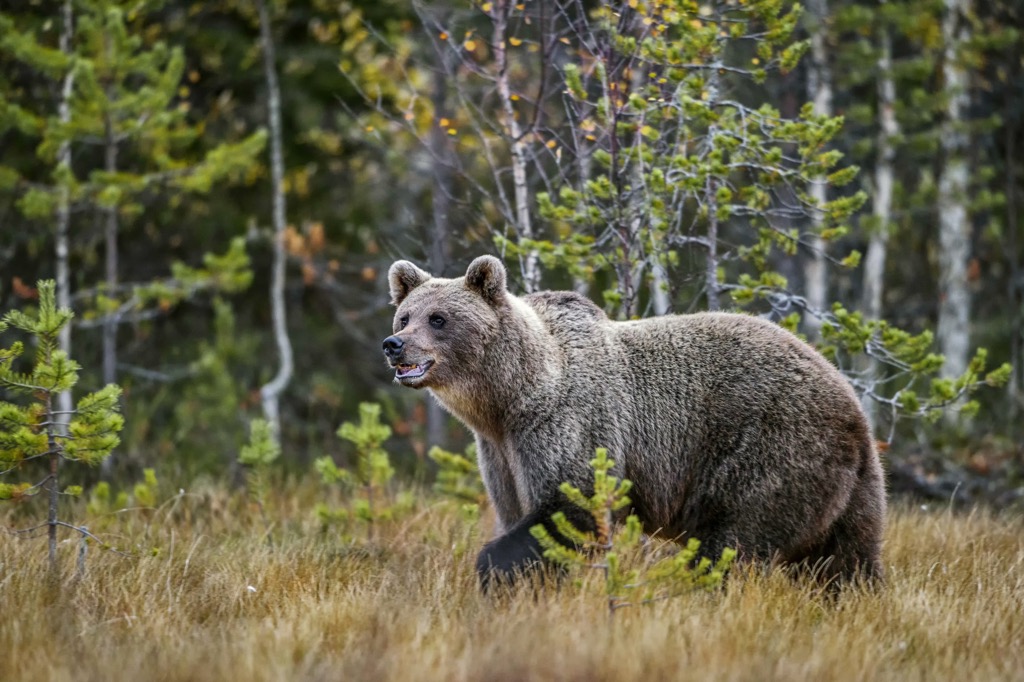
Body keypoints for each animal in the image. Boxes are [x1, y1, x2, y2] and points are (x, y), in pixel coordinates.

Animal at [382, 255, 886, 588]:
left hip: (769, 451)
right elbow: (515, 511)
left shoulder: (567, 425)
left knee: (733, 542)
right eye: (404, 316)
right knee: (846, 558)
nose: (394, 344)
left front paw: (495, 571)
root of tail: (853, 408)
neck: (508, 399)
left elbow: (571, 506)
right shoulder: (500, 453)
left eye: (439, 319)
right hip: (851, 489)